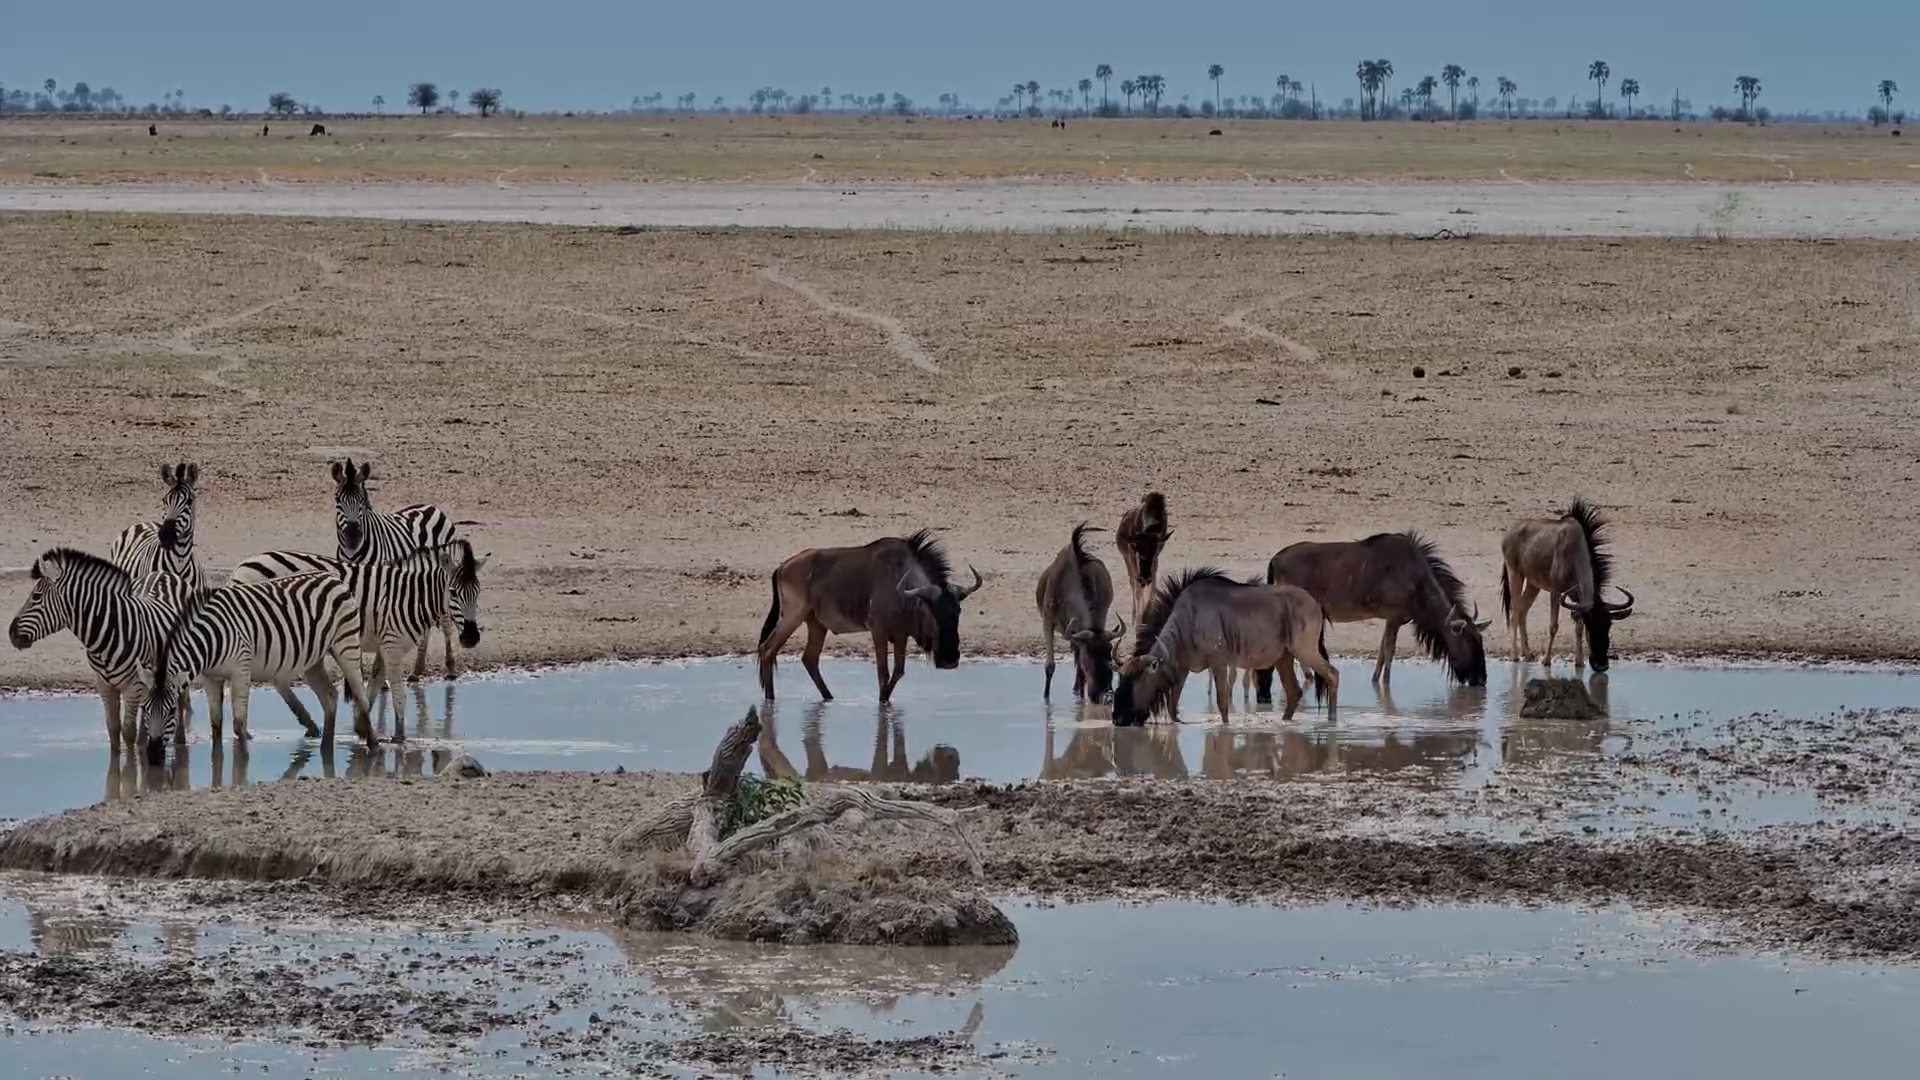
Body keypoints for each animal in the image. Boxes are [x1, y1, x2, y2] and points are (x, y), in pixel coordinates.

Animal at [8, 547, 200, 754]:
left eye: (36, 596)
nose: (10, 633)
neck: (110, 632)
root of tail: (166, 573)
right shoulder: (105, 684)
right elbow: (113, 729)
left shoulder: (133, 686)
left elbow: (128, 731)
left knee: (180, 699)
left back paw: (180, 740)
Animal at [136, 572, 376, 765]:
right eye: (144, 709)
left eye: (171, 711)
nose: (153, 756)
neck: (209, 642)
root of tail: (334, 578)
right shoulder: (211, 678)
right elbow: (216, 724)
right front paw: (217, 757)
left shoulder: (241, 669)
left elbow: (239, 724)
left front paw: (242, 759)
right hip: (313, 660)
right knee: (330, 696)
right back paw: (326, 747)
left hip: (346, 644)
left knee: (361, 696)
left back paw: (373, 746)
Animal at [228, 539, 488, 738]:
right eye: (453, 593)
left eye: (477, 592)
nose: (471, 638)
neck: (409, 597)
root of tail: (241, 568)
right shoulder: (392, 642)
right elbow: (397, 692)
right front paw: (398, 738)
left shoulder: (384, 644)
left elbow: (373, 683)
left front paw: (362, 727)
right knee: (279, 680)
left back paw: (310, 726)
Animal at [331, 457, 460, 675]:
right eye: (337, 501)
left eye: (362, 501)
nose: (353, 537)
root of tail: (432, 507)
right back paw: (417, 669)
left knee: (444, 619)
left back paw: (450, 666)